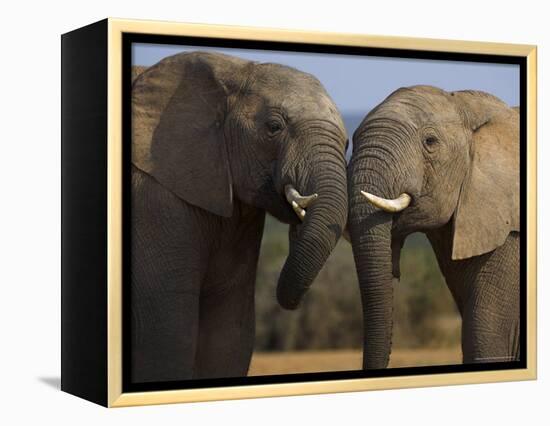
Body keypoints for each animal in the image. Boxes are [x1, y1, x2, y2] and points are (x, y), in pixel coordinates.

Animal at [131, 52, 348, 382]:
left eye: (347, 143)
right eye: (274, 127)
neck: (235, 69)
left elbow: (229, 333)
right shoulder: (154, 199)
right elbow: (168, 335)